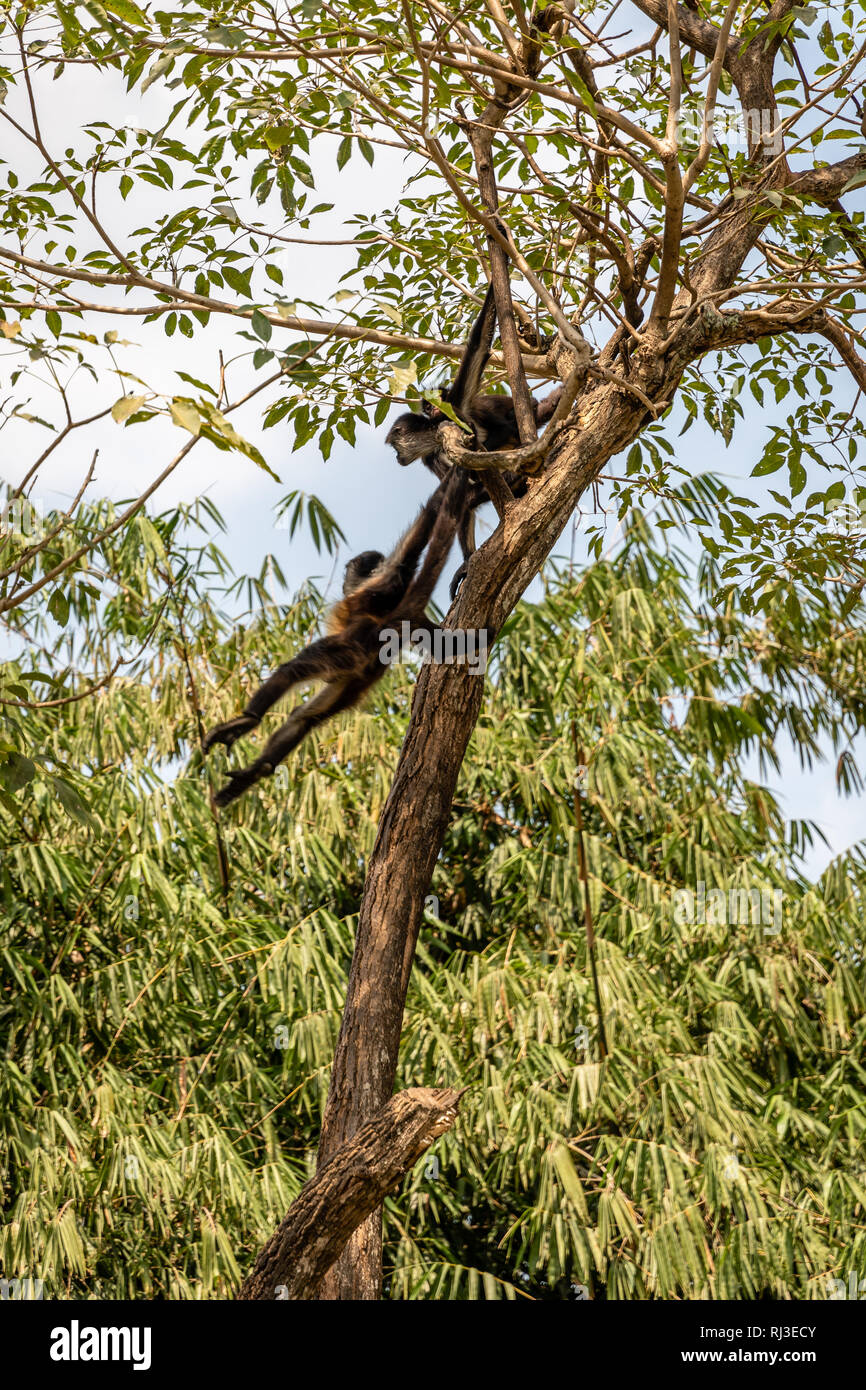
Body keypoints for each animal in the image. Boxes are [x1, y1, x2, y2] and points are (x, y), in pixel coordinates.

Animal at [202, 468, 469, 808]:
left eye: (350, 572)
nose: (345, 582)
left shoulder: (384, 582)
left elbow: (413, 544)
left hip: (344, 655)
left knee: (293, 671)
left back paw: (246, 722)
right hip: (354, 681)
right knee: (306, 718)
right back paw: (257, 770)